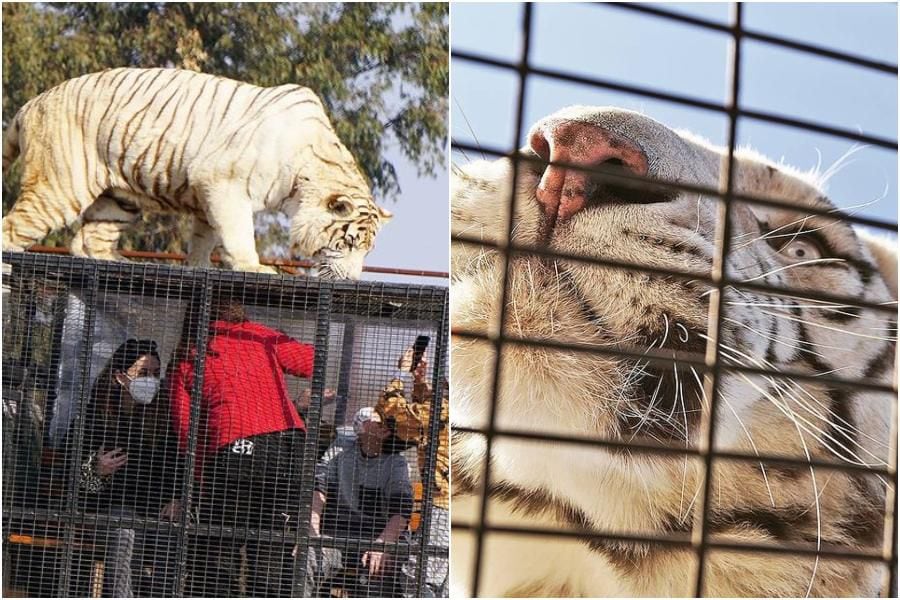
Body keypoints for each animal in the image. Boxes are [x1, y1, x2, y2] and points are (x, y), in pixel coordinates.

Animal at [2, 67, 390, 278]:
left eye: (367, 250)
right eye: (348, 243)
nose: (351, 280)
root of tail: (29, 105)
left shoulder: (209, 196)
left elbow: (207, 238)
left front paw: (197, 268)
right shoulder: (224, 182)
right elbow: (238, 234)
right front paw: (254, 267)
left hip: (118, 199)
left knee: (88, 239)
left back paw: (119, 261)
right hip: (59, 186)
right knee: (13, 229)